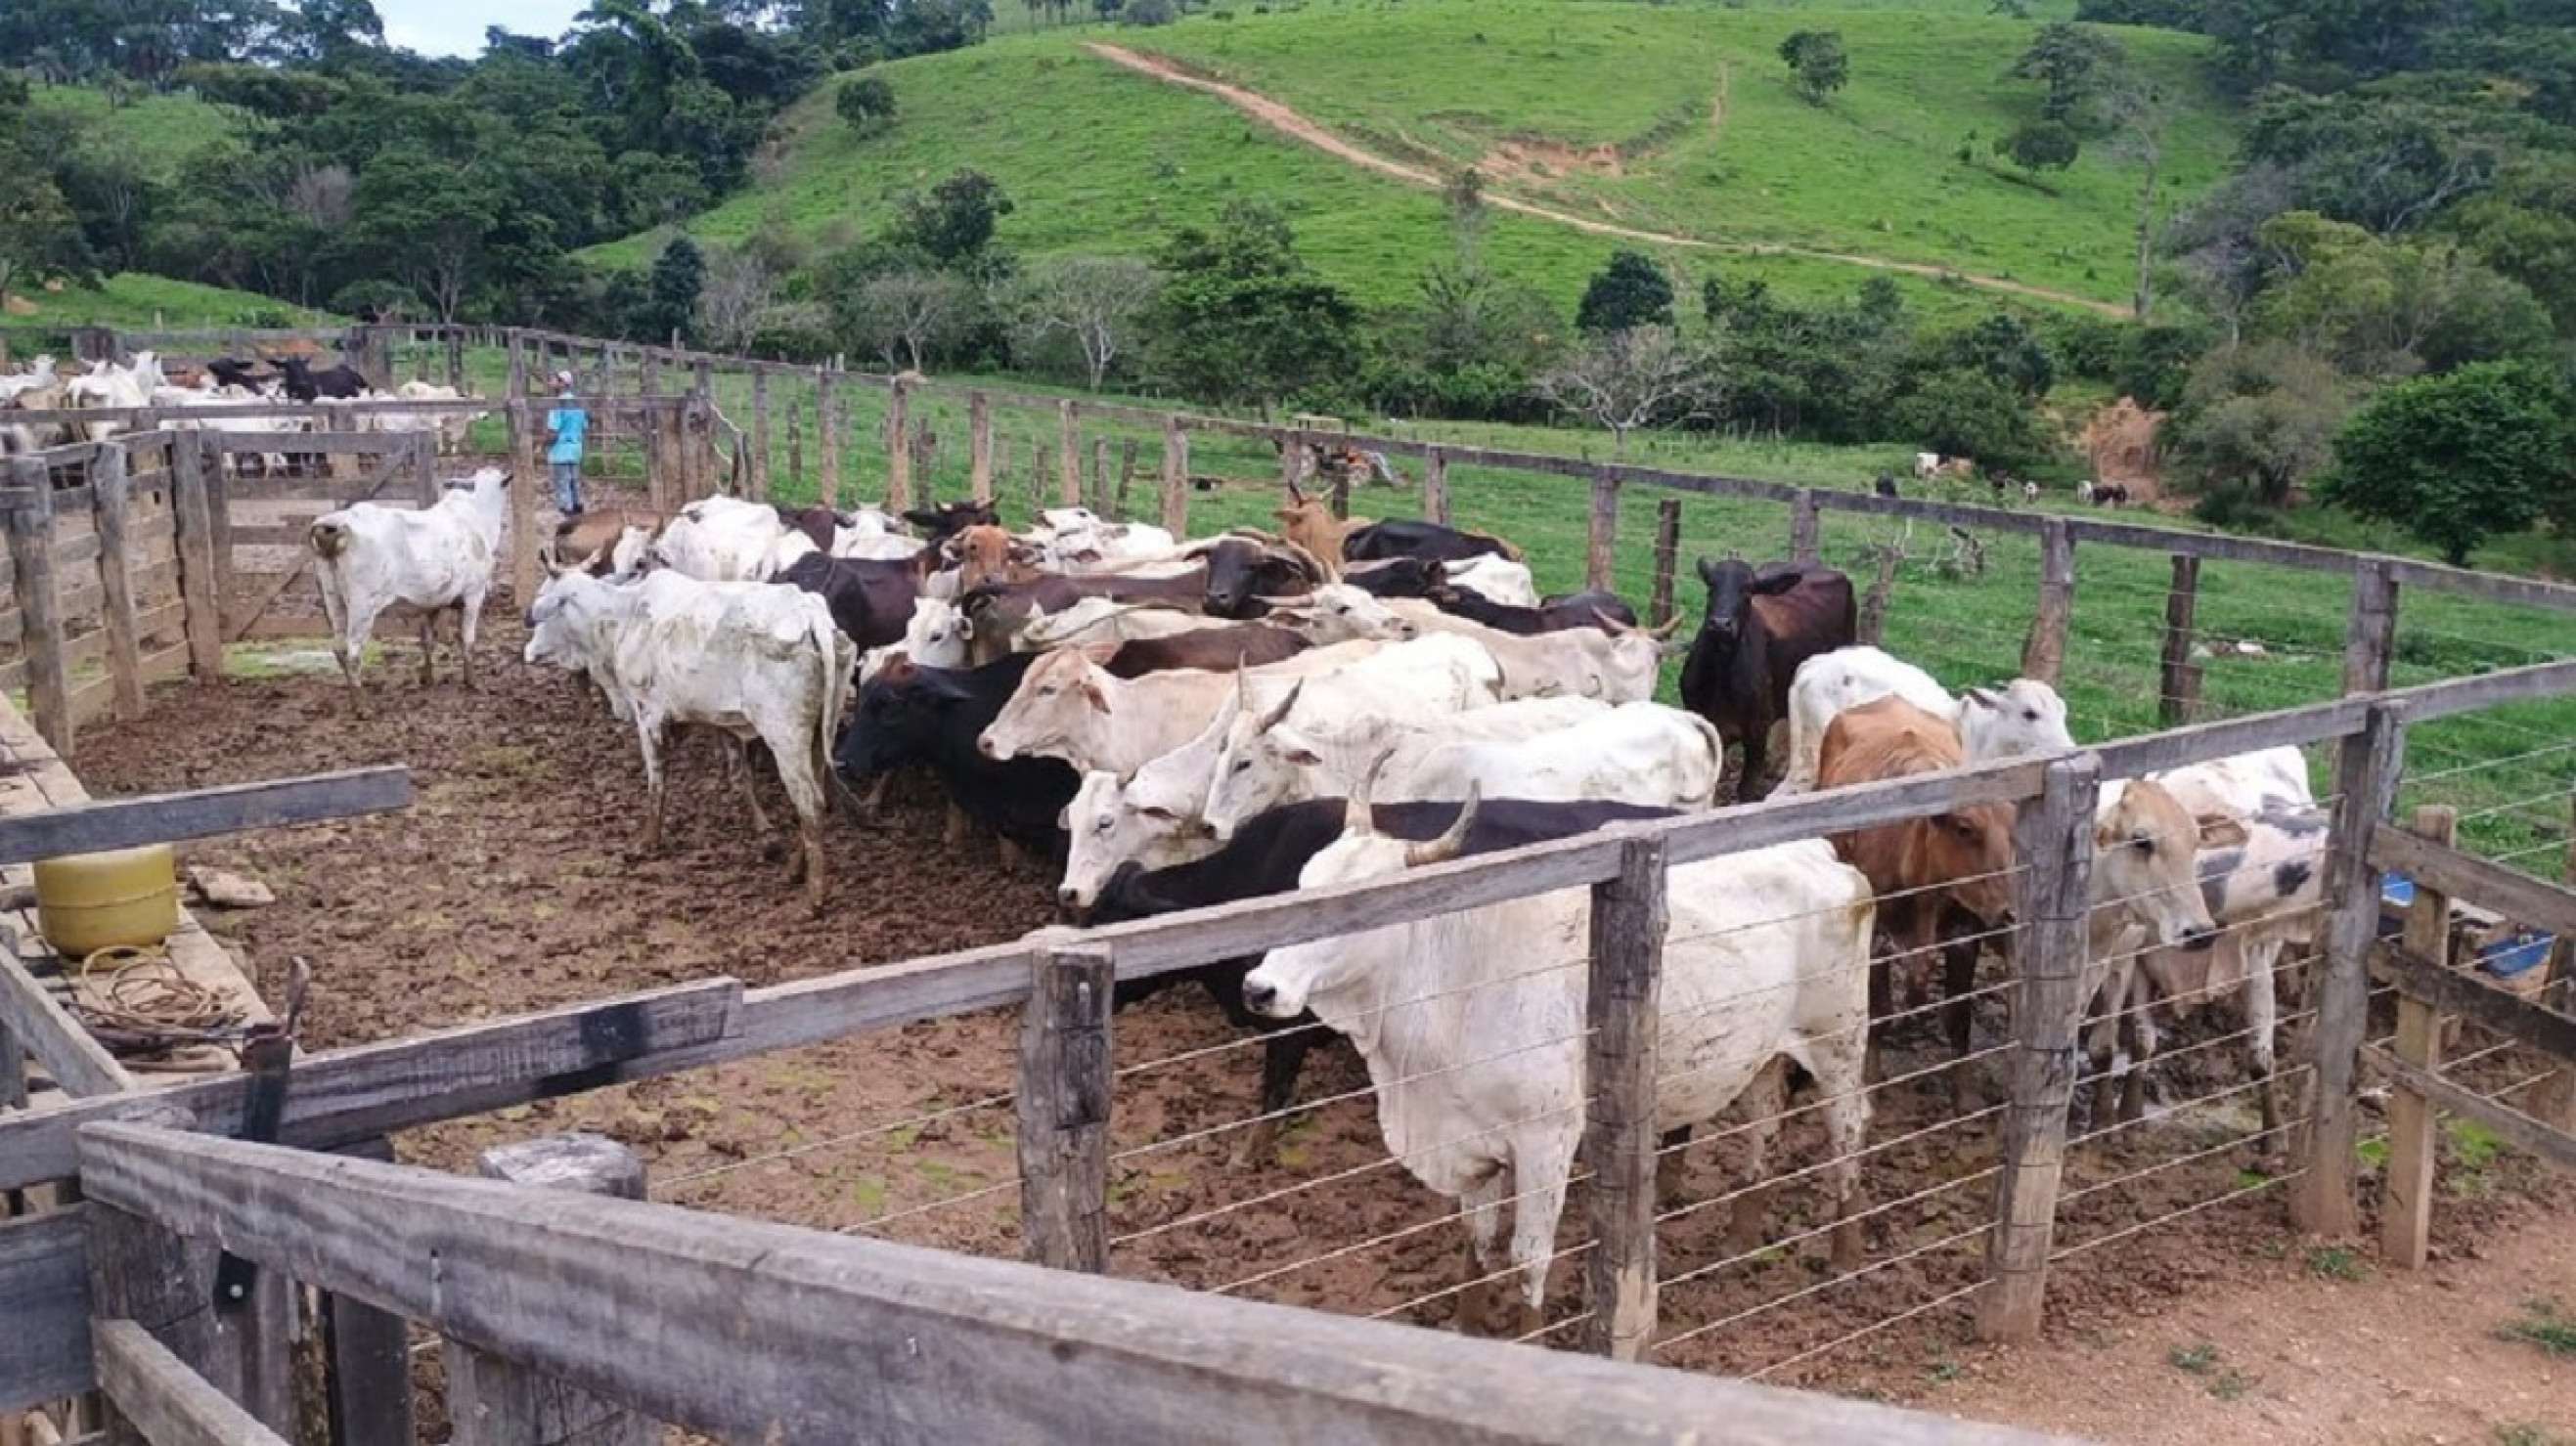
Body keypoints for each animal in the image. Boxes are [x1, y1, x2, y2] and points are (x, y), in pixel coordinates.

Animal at [310, 462, 507, 705]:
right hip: (362, 606)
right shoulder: (474, 594)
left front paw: (428, 679)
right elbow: (467, 641)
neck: (475, 516)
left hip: (332, 599)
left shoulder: (432, 602)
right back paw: (362, 706)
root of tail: (337, 523)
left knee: (338, 649)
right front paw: (473, 682)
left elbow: (428, 640)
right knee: (353, 654)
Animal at [520, 563, 855, 900]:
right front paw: (765, 833)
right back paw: (793, 871)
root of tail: (810, 614)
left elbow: (657, 779)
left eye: (547, 602)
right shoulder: (720, 721)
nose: (529, 651)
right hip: (819, 732)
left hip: (785, 737)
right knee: (818, 797)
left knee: (810, 803)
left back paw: (814, 895)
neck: (623, 616)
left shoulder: (648, 712)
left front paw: (647, 841)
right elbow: (739, 776)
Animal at [1246, 797, 1875, 1327]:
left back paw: (1845, 1257)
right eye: (1300, 886)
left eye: (1354, 912)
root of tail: (1822, 854)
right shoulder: (1471, 1143)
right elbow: (1477, 1241)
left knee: (1846, 1132)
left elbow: (1528, 1258)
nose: (1259, 988)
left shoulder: (1546, 1141)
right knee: (1764, 1124)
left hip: (1839, 1041)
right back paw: (1739, 1239)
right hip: (1766, 1051)